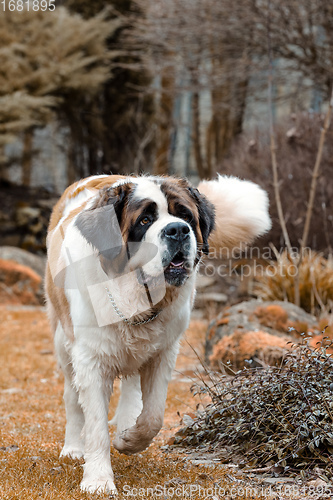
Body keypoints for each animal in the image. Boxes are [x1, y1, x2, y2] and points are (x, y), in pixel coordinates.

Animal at [44, 174, 270, 494]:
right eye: (145, 220)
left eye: (185, 216)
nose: (177, 230)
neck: (138, 301)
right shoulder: (90, 359)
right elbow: (95, 422)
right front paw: (98, 480)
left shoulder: (163, 353)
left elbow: (153, 416)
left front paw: (129, 439)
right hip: (63, 341)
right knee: (72, 397)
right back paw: (74, 447)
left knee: (131, 388)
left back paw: (126, 421)